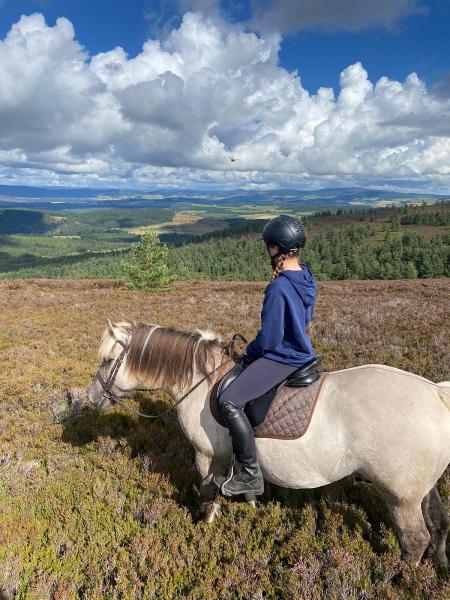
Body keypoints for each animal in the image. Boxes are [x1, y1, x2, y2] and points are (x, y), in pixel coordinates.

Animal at [85, 318, 450, 568]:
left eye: (108, 360)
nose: (91, 397)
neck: (202, 381)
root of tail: (435, 391)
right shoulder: (236, 457)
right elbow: (246, 486)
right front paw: (251, 508)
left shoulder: (207, 456)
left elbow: (207, 495)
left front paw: (205, 532)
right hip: (421, 490)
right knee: (438, 526)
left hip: (399, 496)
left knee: (414, 539)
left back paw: (399, 576)